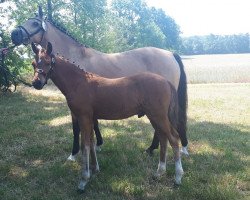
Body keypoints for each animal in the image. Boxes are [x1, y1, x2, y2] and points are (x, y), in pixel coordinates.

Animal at [10, 6, 188, 159]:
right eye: (34, 64)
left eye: (34, 23)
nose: (14, 34)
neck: (77, 58)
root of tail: (170, 54)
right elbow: (94, 123)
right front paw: (98, 144)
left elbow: (76, 128)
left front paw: (74, 153)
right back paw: (152, 149)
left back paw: (152, 149)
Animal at [30, 42, 184, 191]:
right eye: (33, 63)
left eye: (48, 62)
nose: (36, 83)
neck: (79, 83)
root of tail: (166, 82)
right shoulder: (90, 118)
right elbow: (91, 142)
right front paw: (94, 169)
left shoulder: (83, 117)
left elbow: (85, 145)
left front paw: (83, 180)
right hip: (154, 117)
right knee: (163, 138)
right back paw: (159, 173)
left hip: (159, 116)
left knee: (173, 139)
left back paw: (177, 178)